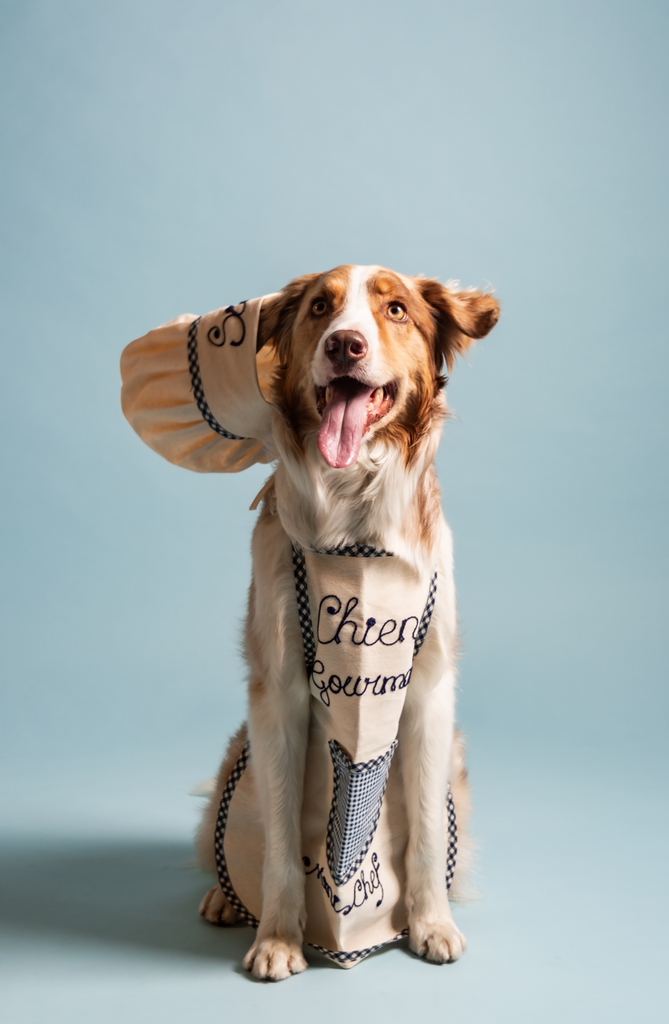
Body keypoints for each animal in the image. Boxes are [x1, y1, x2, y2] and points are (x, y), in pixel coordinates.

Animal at [190, 266, 497, 983]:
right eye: (318, 309)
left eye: (396, 309)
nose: (344, 345)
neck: (356, 520)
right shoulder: (278, 694)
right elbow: (279, 843)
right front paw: (277, 938)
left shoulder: (428, 691)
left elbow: (424, 833)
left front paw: (430, 924)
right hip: (238, 753)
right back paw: (223, 898)